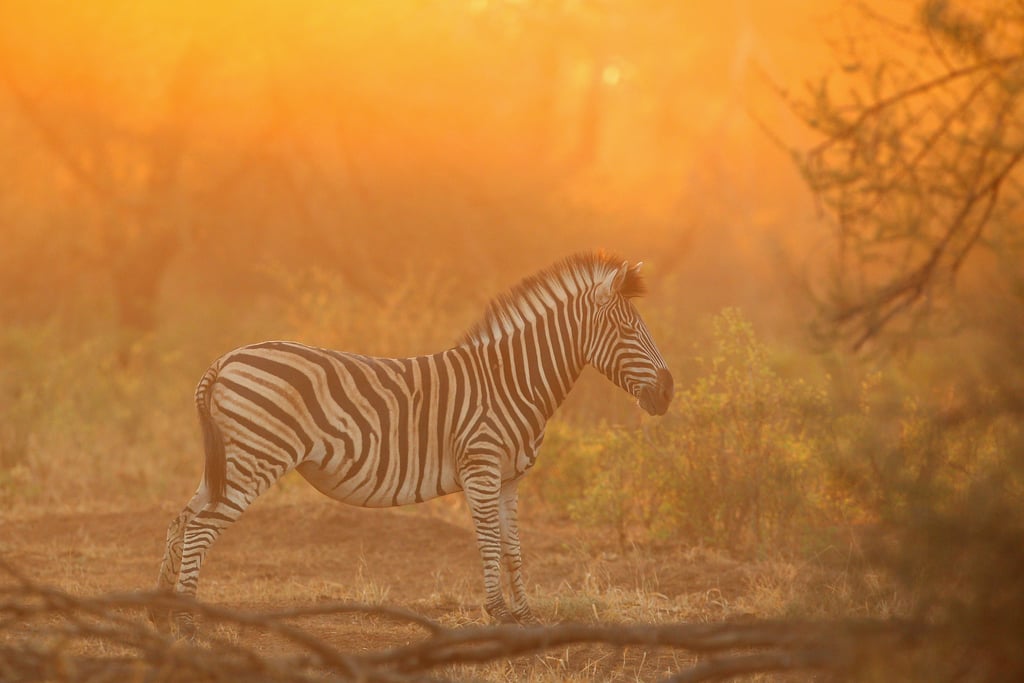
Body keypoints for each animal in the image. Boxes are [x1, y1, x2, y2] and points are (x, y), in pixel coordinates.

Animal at [155, 250, 671, 630]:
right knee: (198, 528)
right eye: (628, 330)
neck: (510, 381)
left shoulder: (510, 479)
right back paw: (186, 622)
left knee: (182, 520)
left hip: (229, 462)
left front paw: (525, 616)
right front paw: (499, 614)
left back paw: (161, 611)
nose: (668, 392)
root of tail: (224, 360)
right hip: (254, 460)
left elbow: (513, 548)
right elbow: (489, 542)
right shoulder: (481, 468)